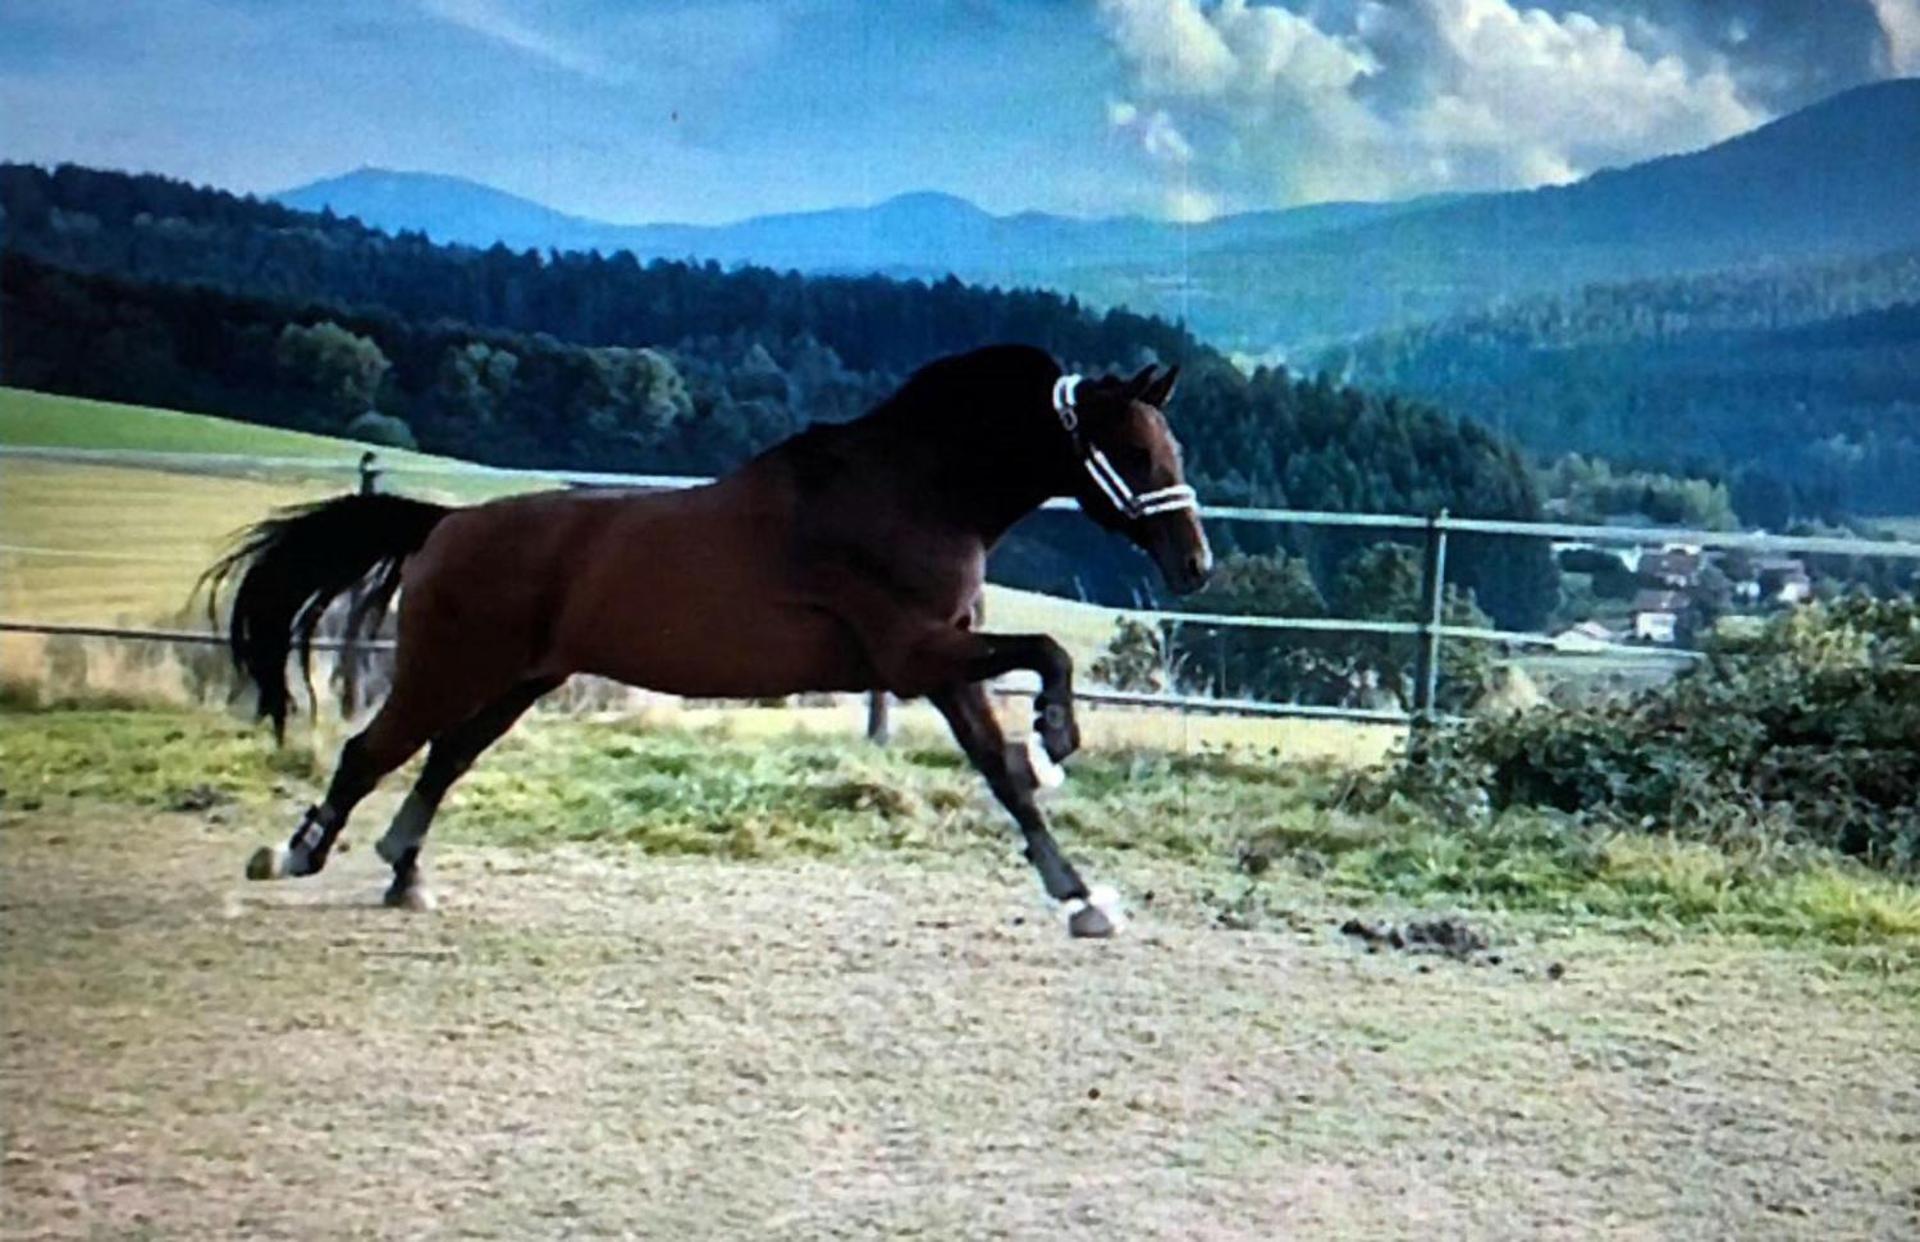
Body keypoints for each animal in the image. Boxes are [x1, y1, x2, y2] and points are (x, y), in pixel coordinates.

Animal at [208, 344, 1212, 938]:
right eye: (1136, 454)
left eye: (1174, 450)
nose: (1195, 564)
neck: (915, 492)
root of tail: (445, 525)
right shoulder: (915, 656)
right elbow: (1048, 654)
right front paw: (1060, 739)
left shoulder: (942, 664)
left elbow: (1004, 775)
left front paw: (1082, 895)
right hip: (450, 667)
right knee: (370, 750)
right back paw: (296, 853)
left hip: (517, 680)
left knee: (443, 758)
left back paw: (404, 873)